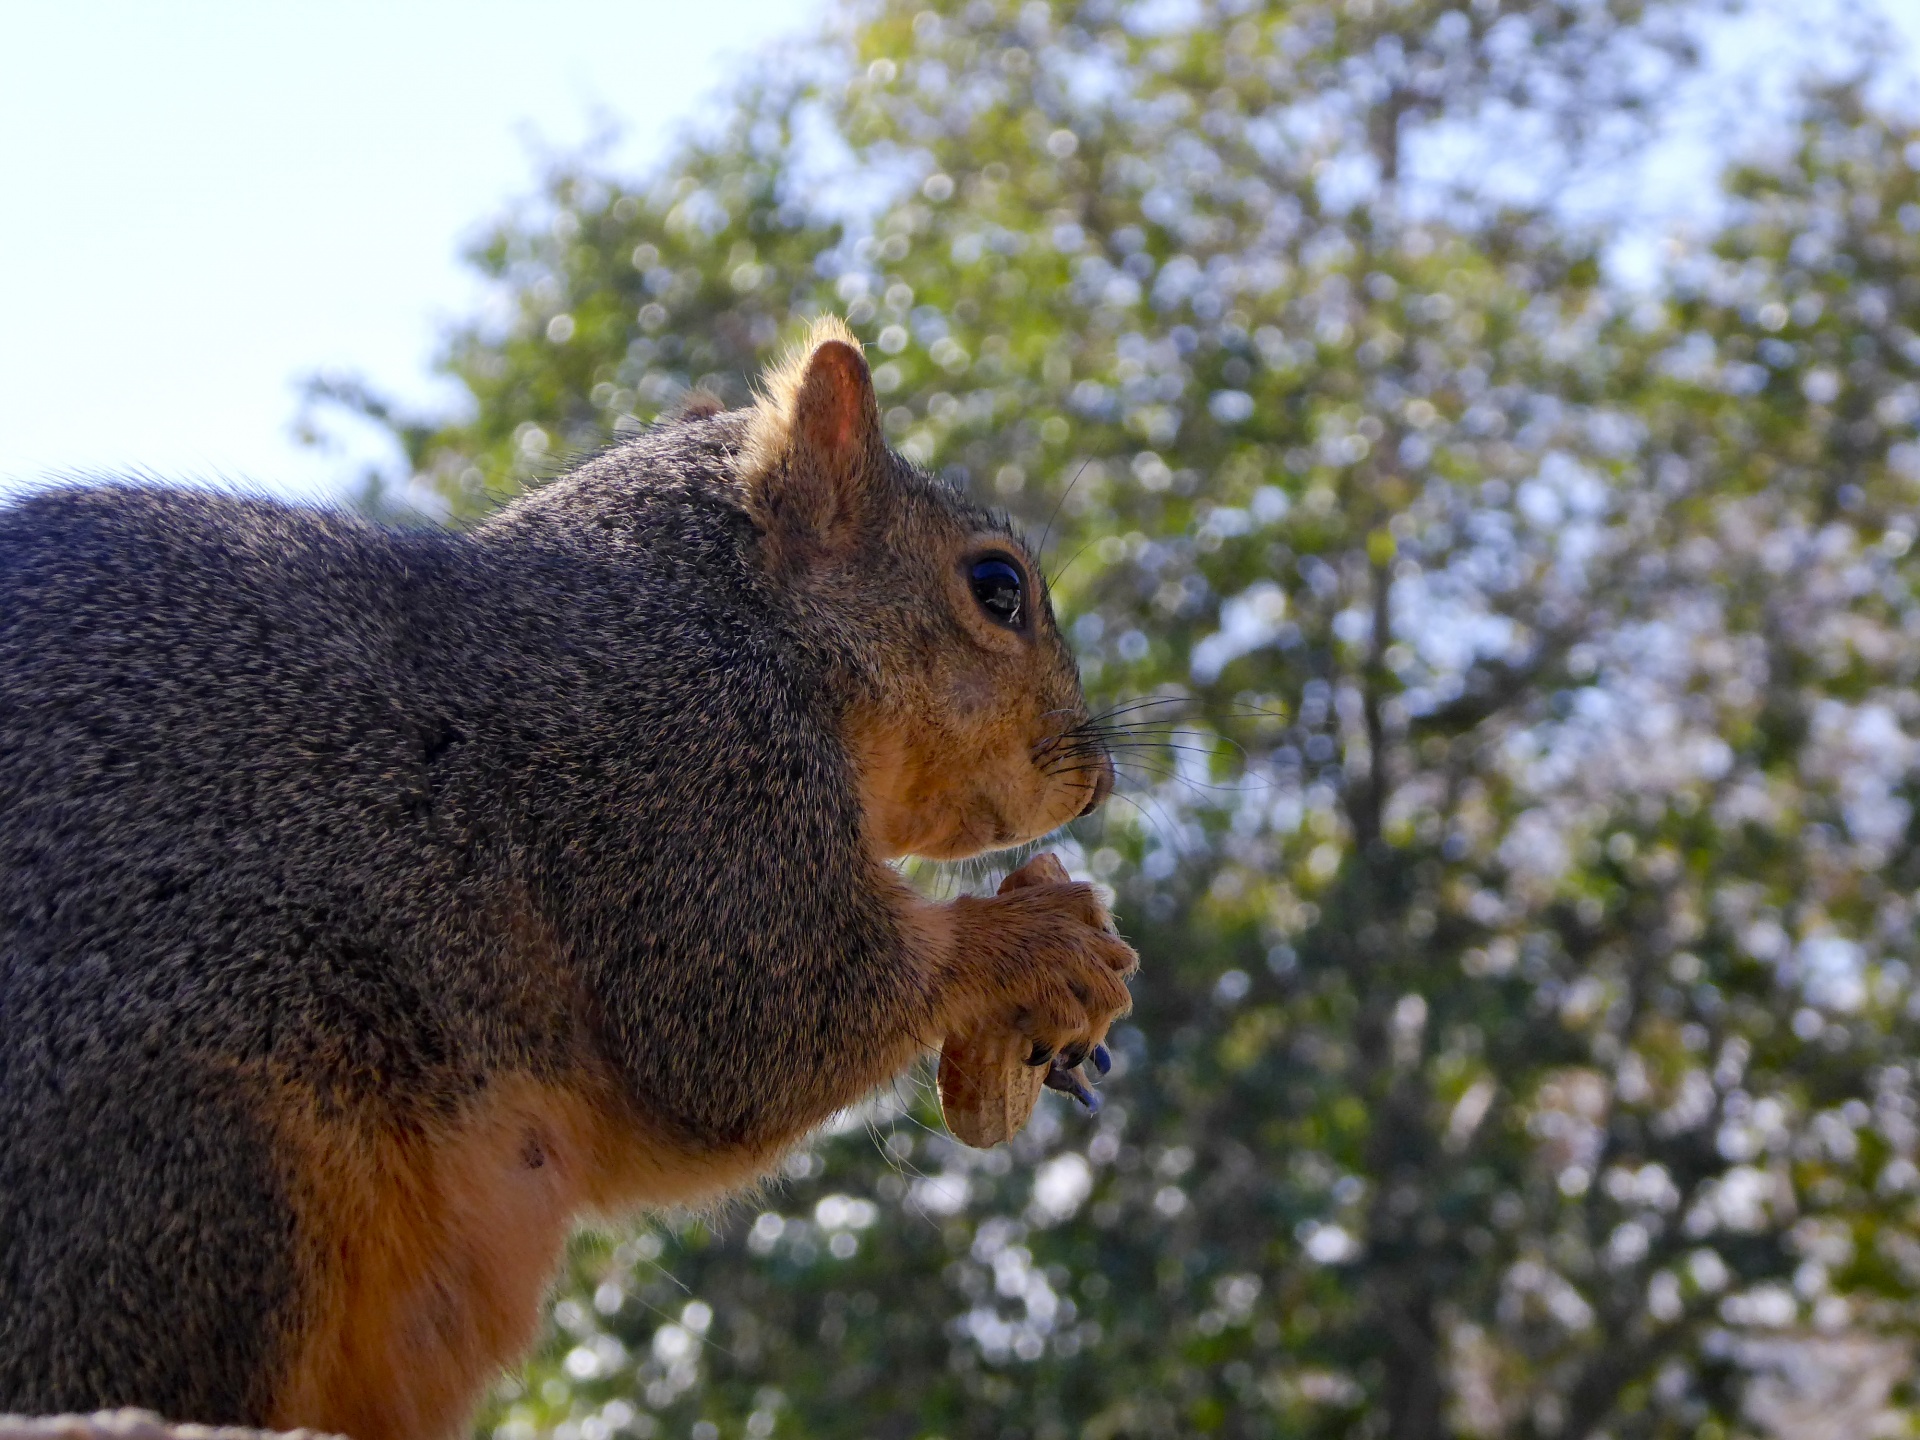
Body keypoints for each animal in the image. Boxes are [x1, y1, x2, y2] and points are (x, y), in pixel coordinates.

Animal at [0, 320, 1136, 1440]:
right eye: (996, 588)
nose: (1100, 783)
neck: (725, 615)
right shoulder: (681, 783)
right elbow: (758, 1032)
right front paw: (1048, 940)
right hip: (208, 1168)